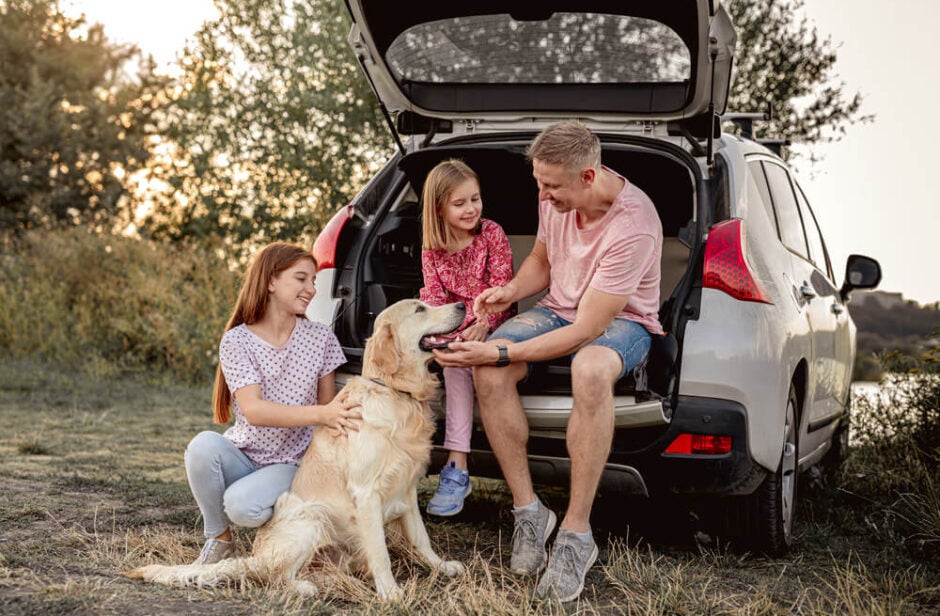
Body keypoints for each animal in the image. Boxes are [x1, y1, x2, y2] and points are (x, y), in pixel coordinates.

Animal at [126, 300, 470, 600]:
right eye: (420, 308)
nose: (462, 305)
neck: (395, 392)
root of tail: (257, 556)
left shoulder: (406, 489)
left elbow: (421, 538)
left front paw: (441, 566)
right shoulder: (366, 494)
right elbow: (380, 551)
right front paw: (390, 592)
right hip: (312, 518)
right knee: (274, 575)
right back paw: (303, 587)